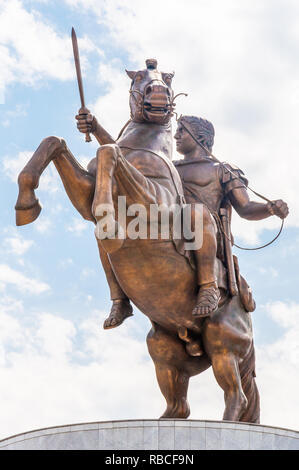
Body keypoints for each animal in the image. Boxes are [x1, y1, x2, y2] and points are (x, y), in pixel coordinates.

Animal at [15, 57, 260, 422]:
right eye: (140, 76)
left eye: (167, 79)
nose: (157, 95)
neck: (142, 149)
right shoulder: (84, 197)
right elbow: (56, 141)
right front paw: (26, 202)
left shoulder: (155, 204)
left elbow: (108, 152)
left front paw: (106, 211)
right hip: (164, 348)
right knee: (180, 406)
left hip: (222, 343)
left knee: (238, 396)